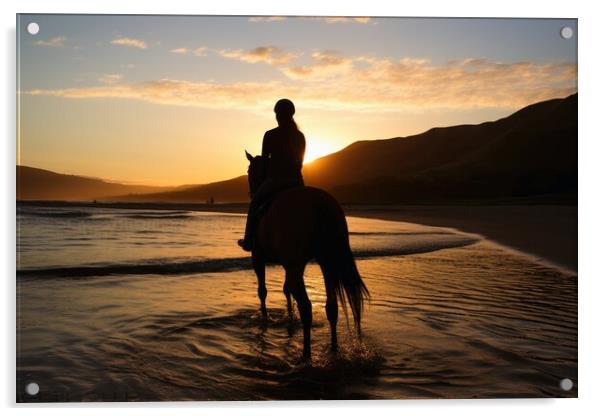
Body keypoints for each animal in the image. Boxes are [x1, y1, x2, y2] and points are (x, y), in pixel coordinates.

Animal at [243, 151, 366, 360]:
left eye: (249, 171)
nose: (251, 192)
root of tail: (318, 202)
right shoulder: (289, 264)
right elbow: (285, 290)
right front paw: (289, 316)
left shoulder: (258, 258)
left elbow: (263, 291)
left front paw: (265, 318)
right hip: (326, 262)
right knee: (331, 307)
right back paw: (333, 348)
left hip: (297, 265)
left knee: (306, 307)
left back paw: (306, 354)